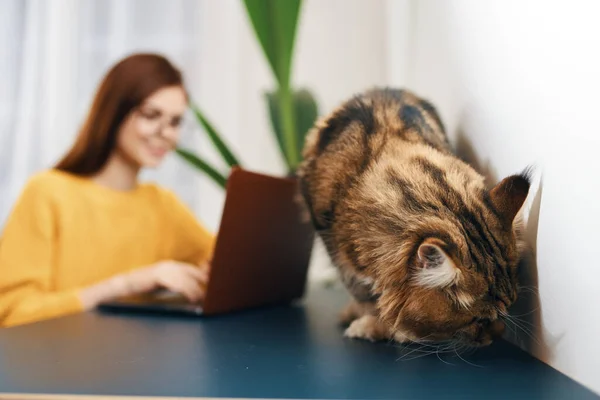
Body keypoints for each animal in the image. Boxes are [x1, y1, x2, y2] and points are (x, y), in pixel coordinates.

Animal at [296, 87, 528, 346]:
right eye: (478, 319)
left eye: (507, 309)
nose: (494, 337)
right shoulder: (335, 248)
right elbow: (365, 295)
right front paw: (375, 325)